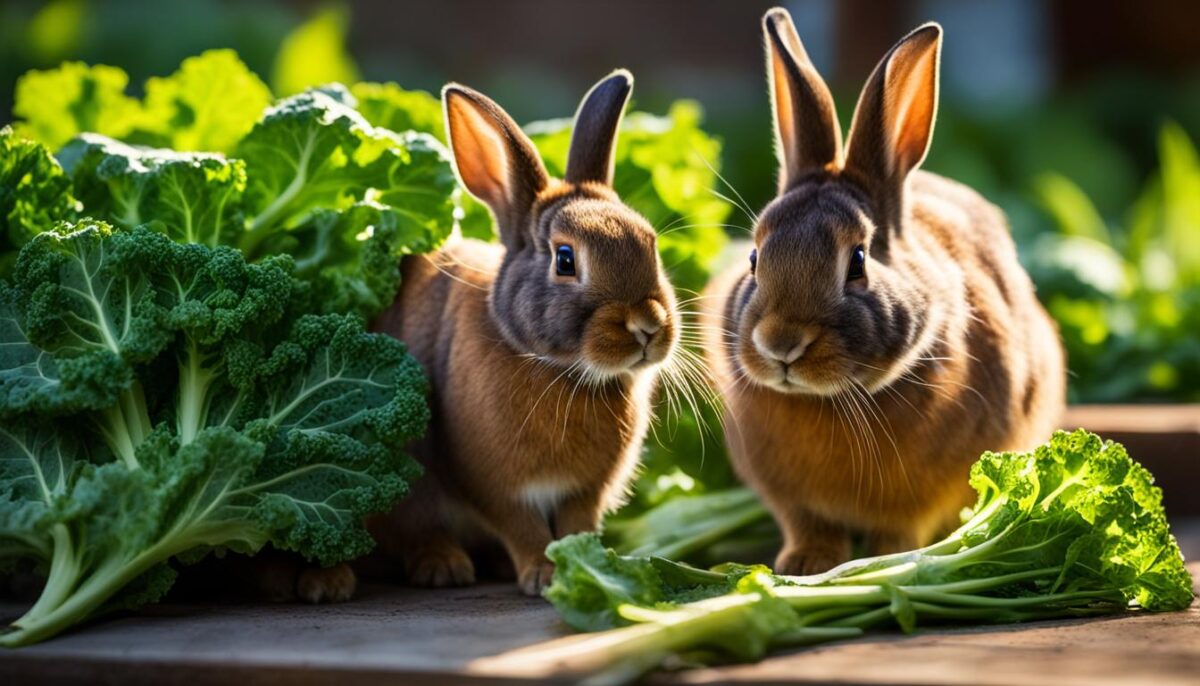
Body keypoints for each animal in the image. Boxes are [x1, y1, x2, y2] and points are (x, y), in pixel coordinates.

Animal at [368, 70, 679, 596]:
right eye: (566, 259)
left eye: (650, 243)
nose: (647, 326)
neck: (562, 371)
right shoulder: (496, 487)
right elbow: (523, 528)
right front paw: (543, 574)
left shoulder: (585, 491)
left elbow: (575, 523)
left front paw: (583, 562)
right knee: (419, 529)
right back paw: (444, 568)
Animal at [701, 8, 1066, 575]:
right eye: (754, 259)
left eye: (857, 261)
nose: (780, 344)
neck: (829, 400)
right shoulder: (791, 499)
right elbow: (808, 524)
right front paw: (804, 566)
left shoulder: (920, 498)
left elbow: (899, 531)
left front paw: (883, 561)